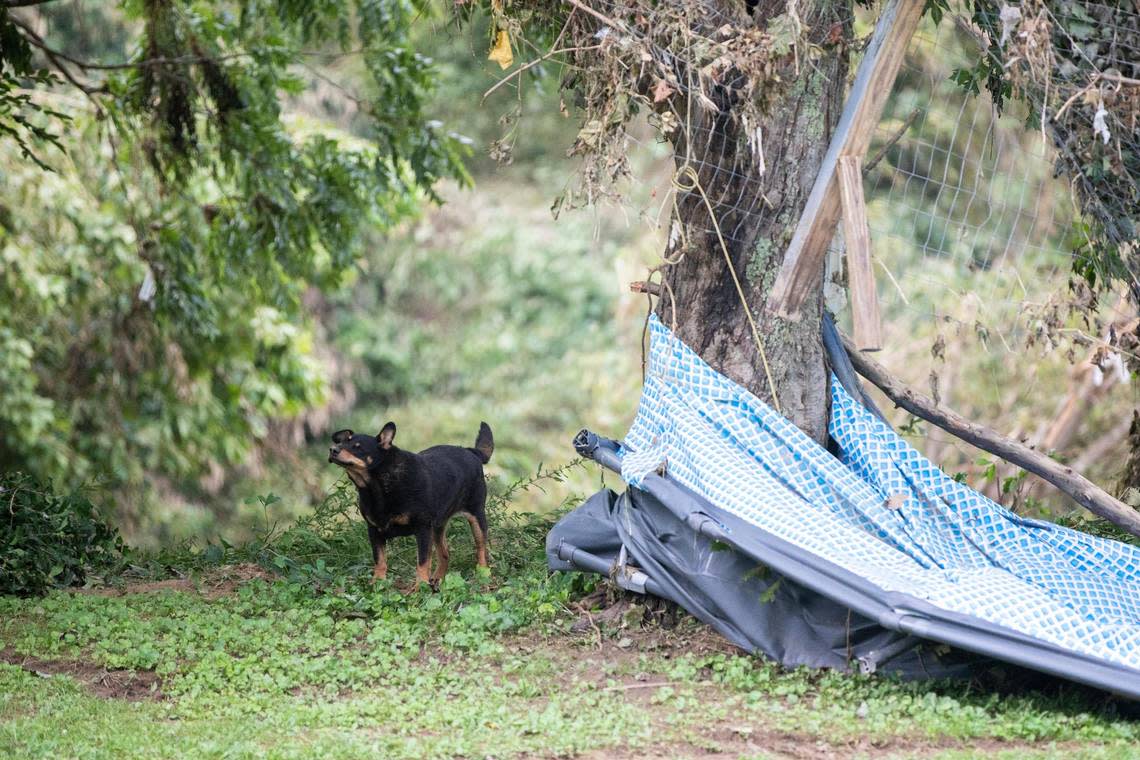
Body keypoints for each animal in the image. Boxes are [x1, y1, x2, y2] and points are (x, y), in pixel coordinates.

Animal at [328, 421, 492, 587]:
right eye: (341, 442)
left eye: (357, 447)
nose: (332, 449)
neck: (378, 486)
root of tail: (471, 451)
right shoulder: (374, 530)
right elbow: (379, 560)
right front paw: (378, 582)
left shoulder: (423, 529)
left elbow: (423, 561)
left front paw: (420, 587)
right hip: (438, 527)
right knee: (445, 554)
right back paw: (437, 579)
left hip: (476, 517)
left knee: (481, 549)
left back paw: (482, 575)